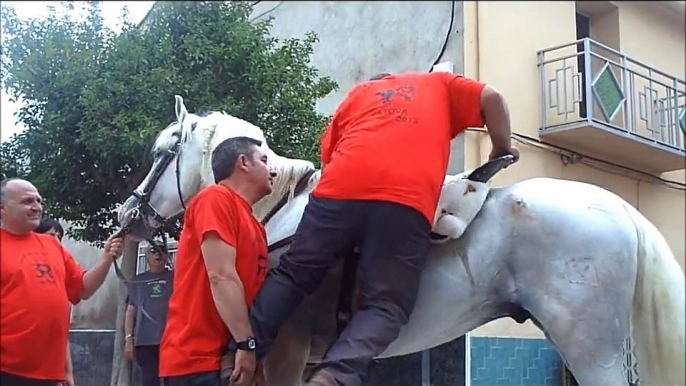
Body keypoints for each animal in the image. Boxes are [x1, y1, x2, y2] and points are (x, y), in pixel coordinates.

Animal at [115, 96, 684, 386]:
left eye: (161, 151)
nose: (127, 214)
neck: (273, 215)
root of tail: (618, 206)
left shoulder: (284, 353)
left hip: (590, 347)